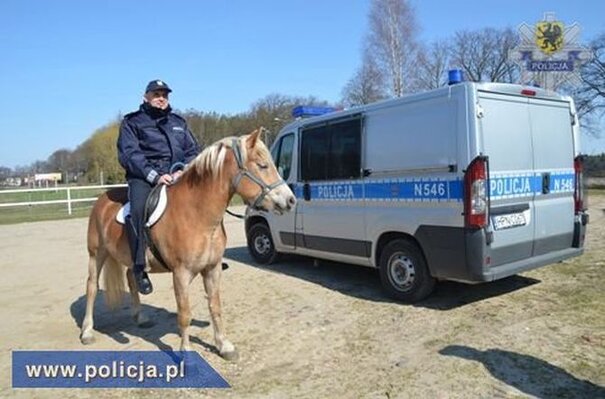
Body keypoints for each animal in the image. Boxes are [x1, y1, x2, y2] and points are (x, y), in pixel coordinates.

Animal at [79, 128, 296, 360]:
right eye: (262, 165)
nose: (291, 200)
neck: (197, 215)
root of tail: (101, 200)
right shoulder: (181, 274)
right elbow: (185, 314)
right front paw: (187, 354)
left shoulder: (212, 269)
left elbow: (215, 306)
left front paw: (224, 346)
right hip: (96, 254)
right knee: (92, 287)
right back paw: (87, 332)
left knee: (132, 277)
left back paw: (140, 317)